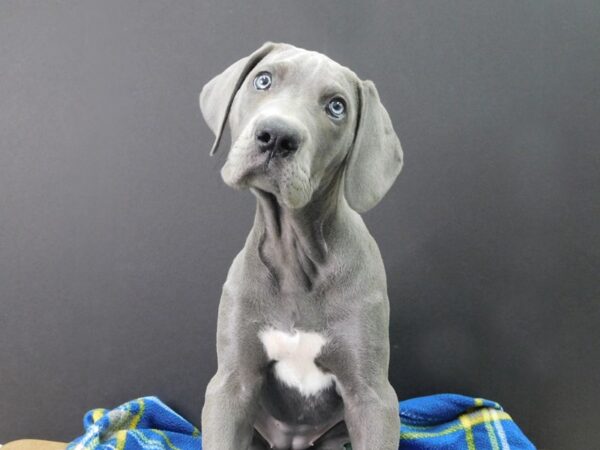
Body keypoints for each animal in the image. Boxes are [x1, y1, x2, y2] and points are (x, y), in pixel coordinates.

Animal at [200, 42, 404, 450]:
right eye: (263, 80)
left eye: (337, 107)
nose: (277, 136)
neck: (295, 255)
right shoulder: (230, 385)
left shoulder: (373, 397)